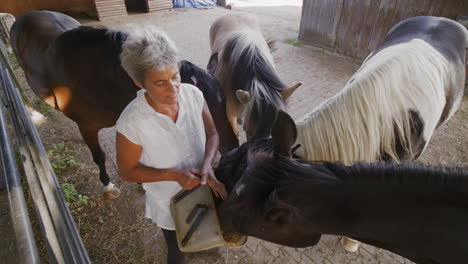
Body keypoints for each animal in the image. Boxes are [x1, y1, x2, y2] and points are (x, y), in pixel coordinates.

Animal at [11, 11, 238, 199]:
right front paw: (108, 186)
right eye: (206, 107)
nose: (233, 146)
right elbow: (99, 156)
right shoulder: (87, 126)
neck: (102, 79)